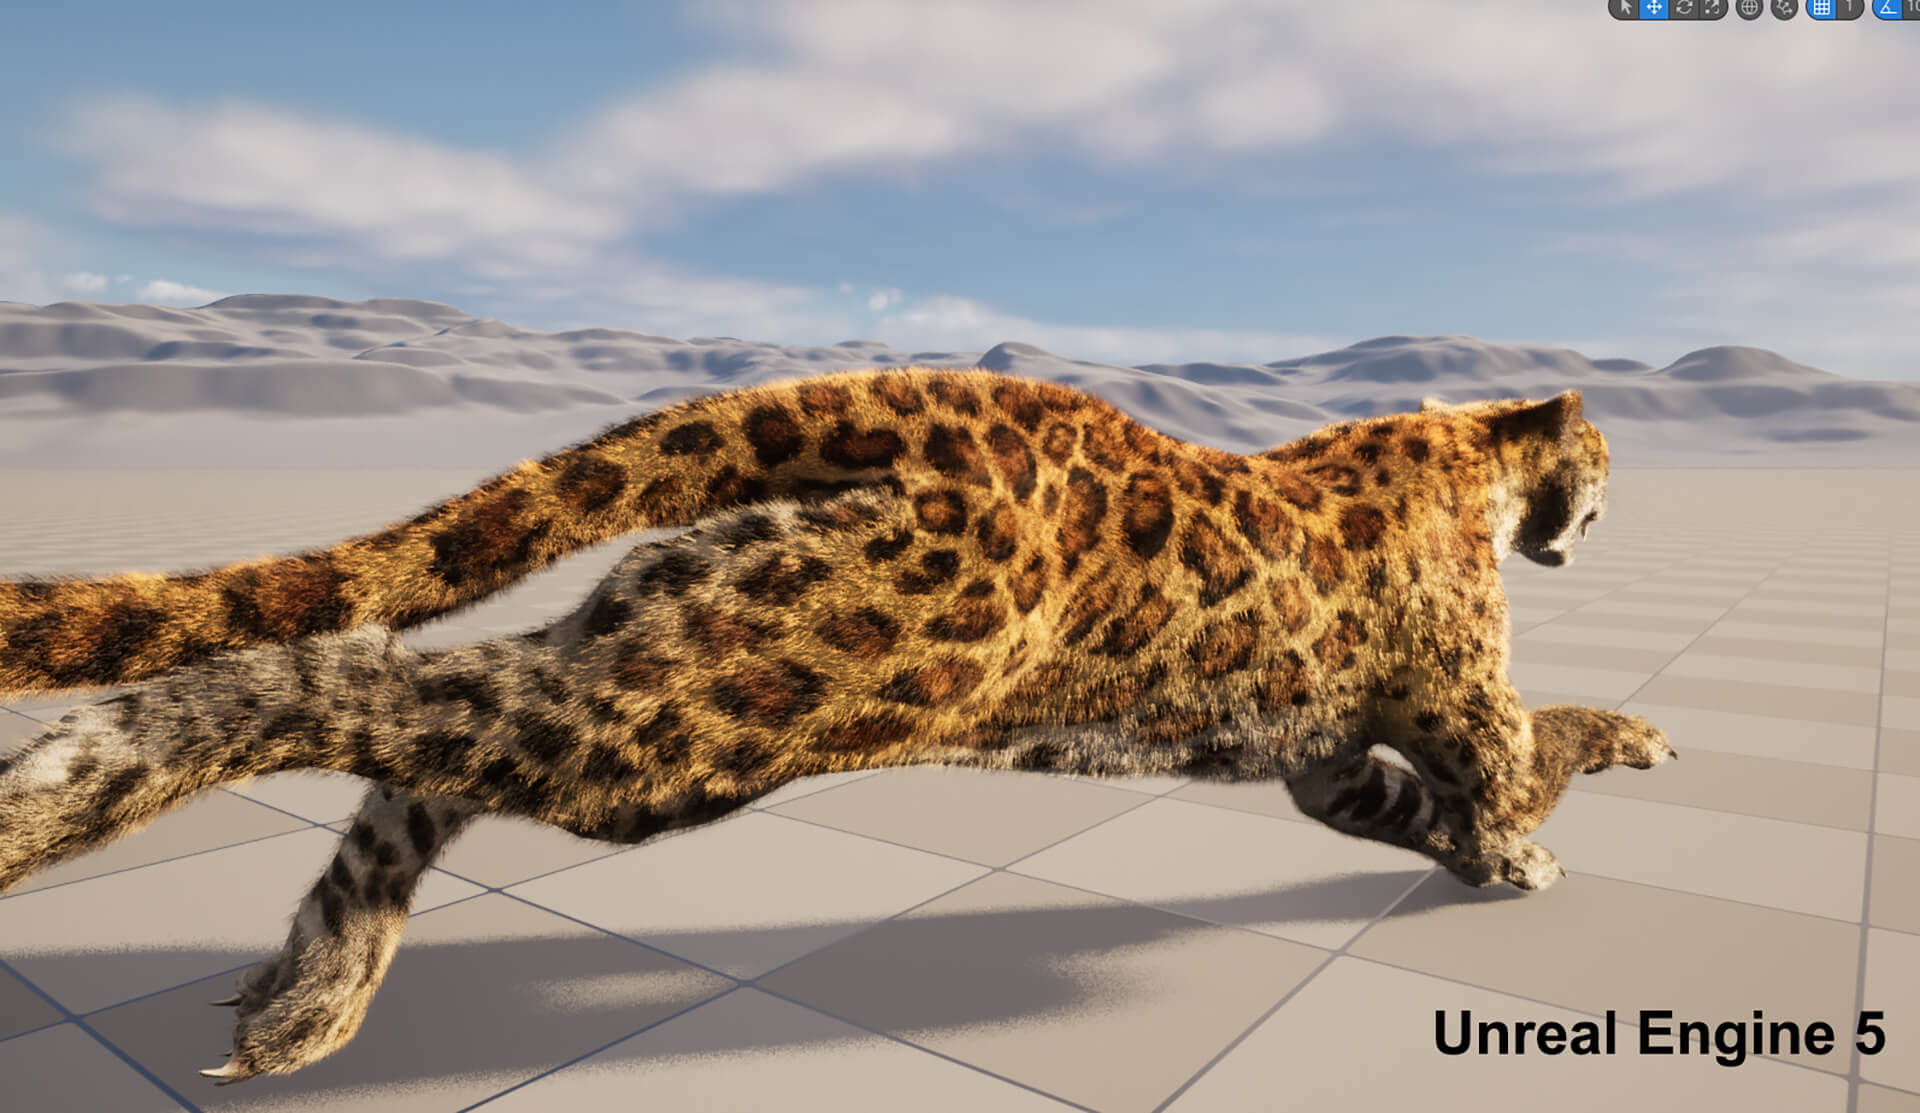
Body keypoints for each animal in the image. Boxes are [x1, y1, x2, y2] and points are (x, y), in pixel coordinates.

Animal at [0, 367, 1674, 1083]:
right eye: (1604, 453)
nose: (1605, 504)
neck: (1470, 456)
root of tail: (943, 399)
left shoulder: (1324, 758)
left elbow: (1399, 803)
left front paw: (1491, 856)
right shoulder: (1459, 704)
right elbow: (1531, 751)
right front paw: (1587, 791)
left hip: (662, 635)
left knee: (412, 743)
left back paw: (308, 996)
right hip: (703, 715)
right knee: (335, 680)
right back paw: (52, 794)